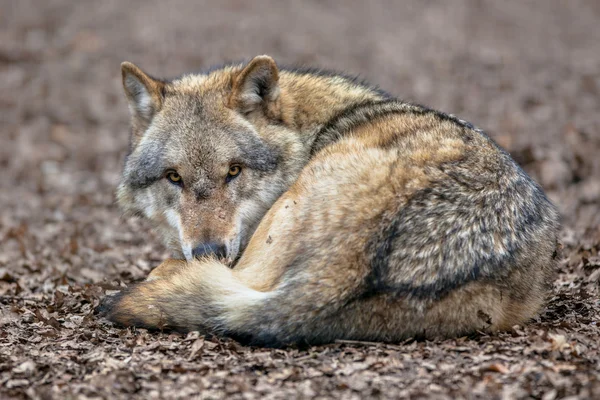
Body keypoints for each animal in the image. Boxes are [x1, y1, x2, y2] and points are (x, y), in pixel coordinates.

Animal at [96, 54, 560, 346]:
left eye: (234, 171)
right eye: (174, 177)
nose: (208, 250)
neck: (310, 129)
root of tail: (340, 279)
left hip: (284, 215)